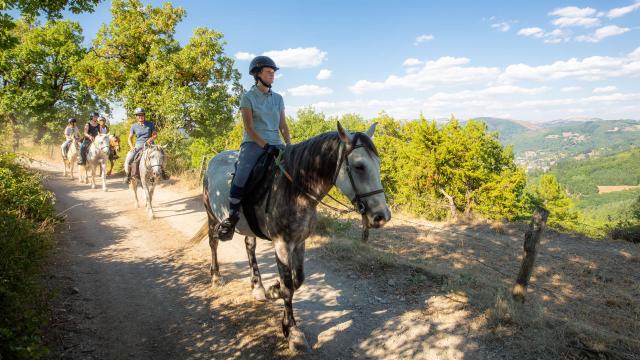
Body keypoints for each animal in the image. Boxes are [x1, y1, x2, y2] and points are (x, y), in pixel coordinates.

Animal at [190, 122, 390, 352]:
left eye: (378, 163)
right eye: (359, 166)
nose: (382, 216)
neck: (296, 190)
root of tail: (215, 159)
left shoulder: (299, 242)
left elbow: (297, 280)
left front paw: (272, 290)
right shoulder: (282, 245)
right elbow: (288, 288)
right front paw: (292, 331)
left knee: (249, 245)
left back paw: (257, 287)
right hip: (212, 216)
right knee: (213, 243)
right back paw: (216, 277)